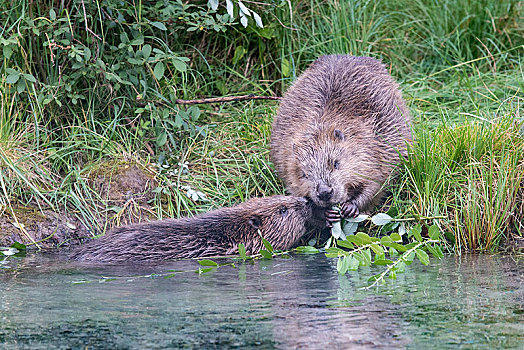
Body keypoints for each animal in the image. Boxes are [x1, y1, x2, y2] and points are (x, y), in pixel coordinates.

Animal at [270, 54, 414, 224]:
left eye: (336, 163)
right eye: (305, 174)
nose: (325, 192)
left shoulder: (376, 146)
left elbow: (376, 183)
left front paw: (350, 207)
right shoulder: (286, 162)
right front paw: (327, 213)